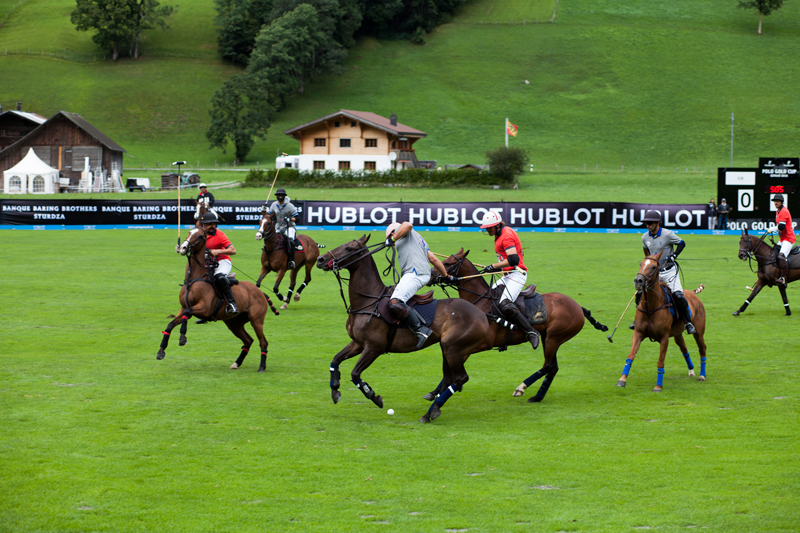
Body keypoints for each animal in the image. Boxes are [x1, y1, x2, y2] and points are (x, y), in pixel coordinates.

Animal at [158, 227, 274, 372]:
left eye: (200, 236)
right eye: (189, 232)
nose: (183, 247)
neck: (195, 279)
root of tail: (260, 291)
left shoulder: (205, 309)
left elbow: (187, 313)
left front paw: (182, 338)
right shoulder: (184, 307)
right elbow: (170, 324)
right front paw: (161, 351)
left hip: (256, 320)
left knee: (263, 341)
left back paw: (262, 367)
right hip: (234, 323)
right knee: (248, 340)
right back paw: (236, 363)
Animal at [314, 235, 490, 422]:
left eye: (349, 248)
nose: (321, 259)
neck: (368, 301)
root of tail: (482, 315)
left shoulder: (373, 347)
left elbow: (355, 374)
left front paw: (374, 396)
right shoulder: (358, 344)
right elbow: (335, 360)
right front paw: (335, 390)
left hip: (453, 348)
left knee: (460, 378)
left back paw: (430, 412)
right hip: (448, 349)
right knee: (450, 377)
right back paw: (433, 410)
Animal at [438, 249, 608, 404]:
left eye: (447, 264)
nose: (434, 276)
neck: (482, 301)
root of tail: (579, 307)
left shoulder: (481, 343)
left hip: (554, 337)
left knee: (548, 365)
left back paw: (521, 387)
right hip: (548, 337)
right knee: (553, 367)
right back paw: (537, 397)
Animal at [620, 251, 708, 392]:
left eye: (653, 267)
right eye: (641, 264)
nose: (638, 281)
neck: (650, 307)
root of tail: (693, 293)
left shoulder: (664, 337)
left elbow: (660, 362)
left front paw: (658, 386)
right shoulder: (638, 333)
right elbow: (630, 356)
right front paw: (622, 380)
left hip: (698, 331)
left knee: (702, 348)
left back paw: (702, 375)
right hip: (677, 333)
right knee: (684, 348)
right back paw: (691, 371)